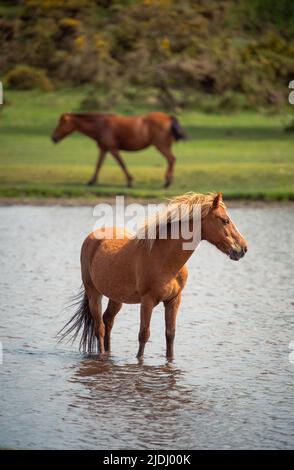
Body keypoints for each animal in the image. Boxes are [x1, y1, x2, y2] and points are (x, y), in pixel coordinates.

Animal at [50, 112, 184, 187]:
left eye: (61, 123)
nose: (53, 137)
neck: (100, 125)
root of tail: (168, 118)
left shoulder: (113, 149)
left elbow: (121, 164)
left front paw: (130, 181)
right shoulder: (104, 149)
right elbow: (98, 165)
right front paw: (92, 181)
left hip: (161, 145)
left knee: (171, 159)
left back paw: (167, 181)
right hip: (164, 146)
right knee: (172, 160)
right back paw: (168, 181)